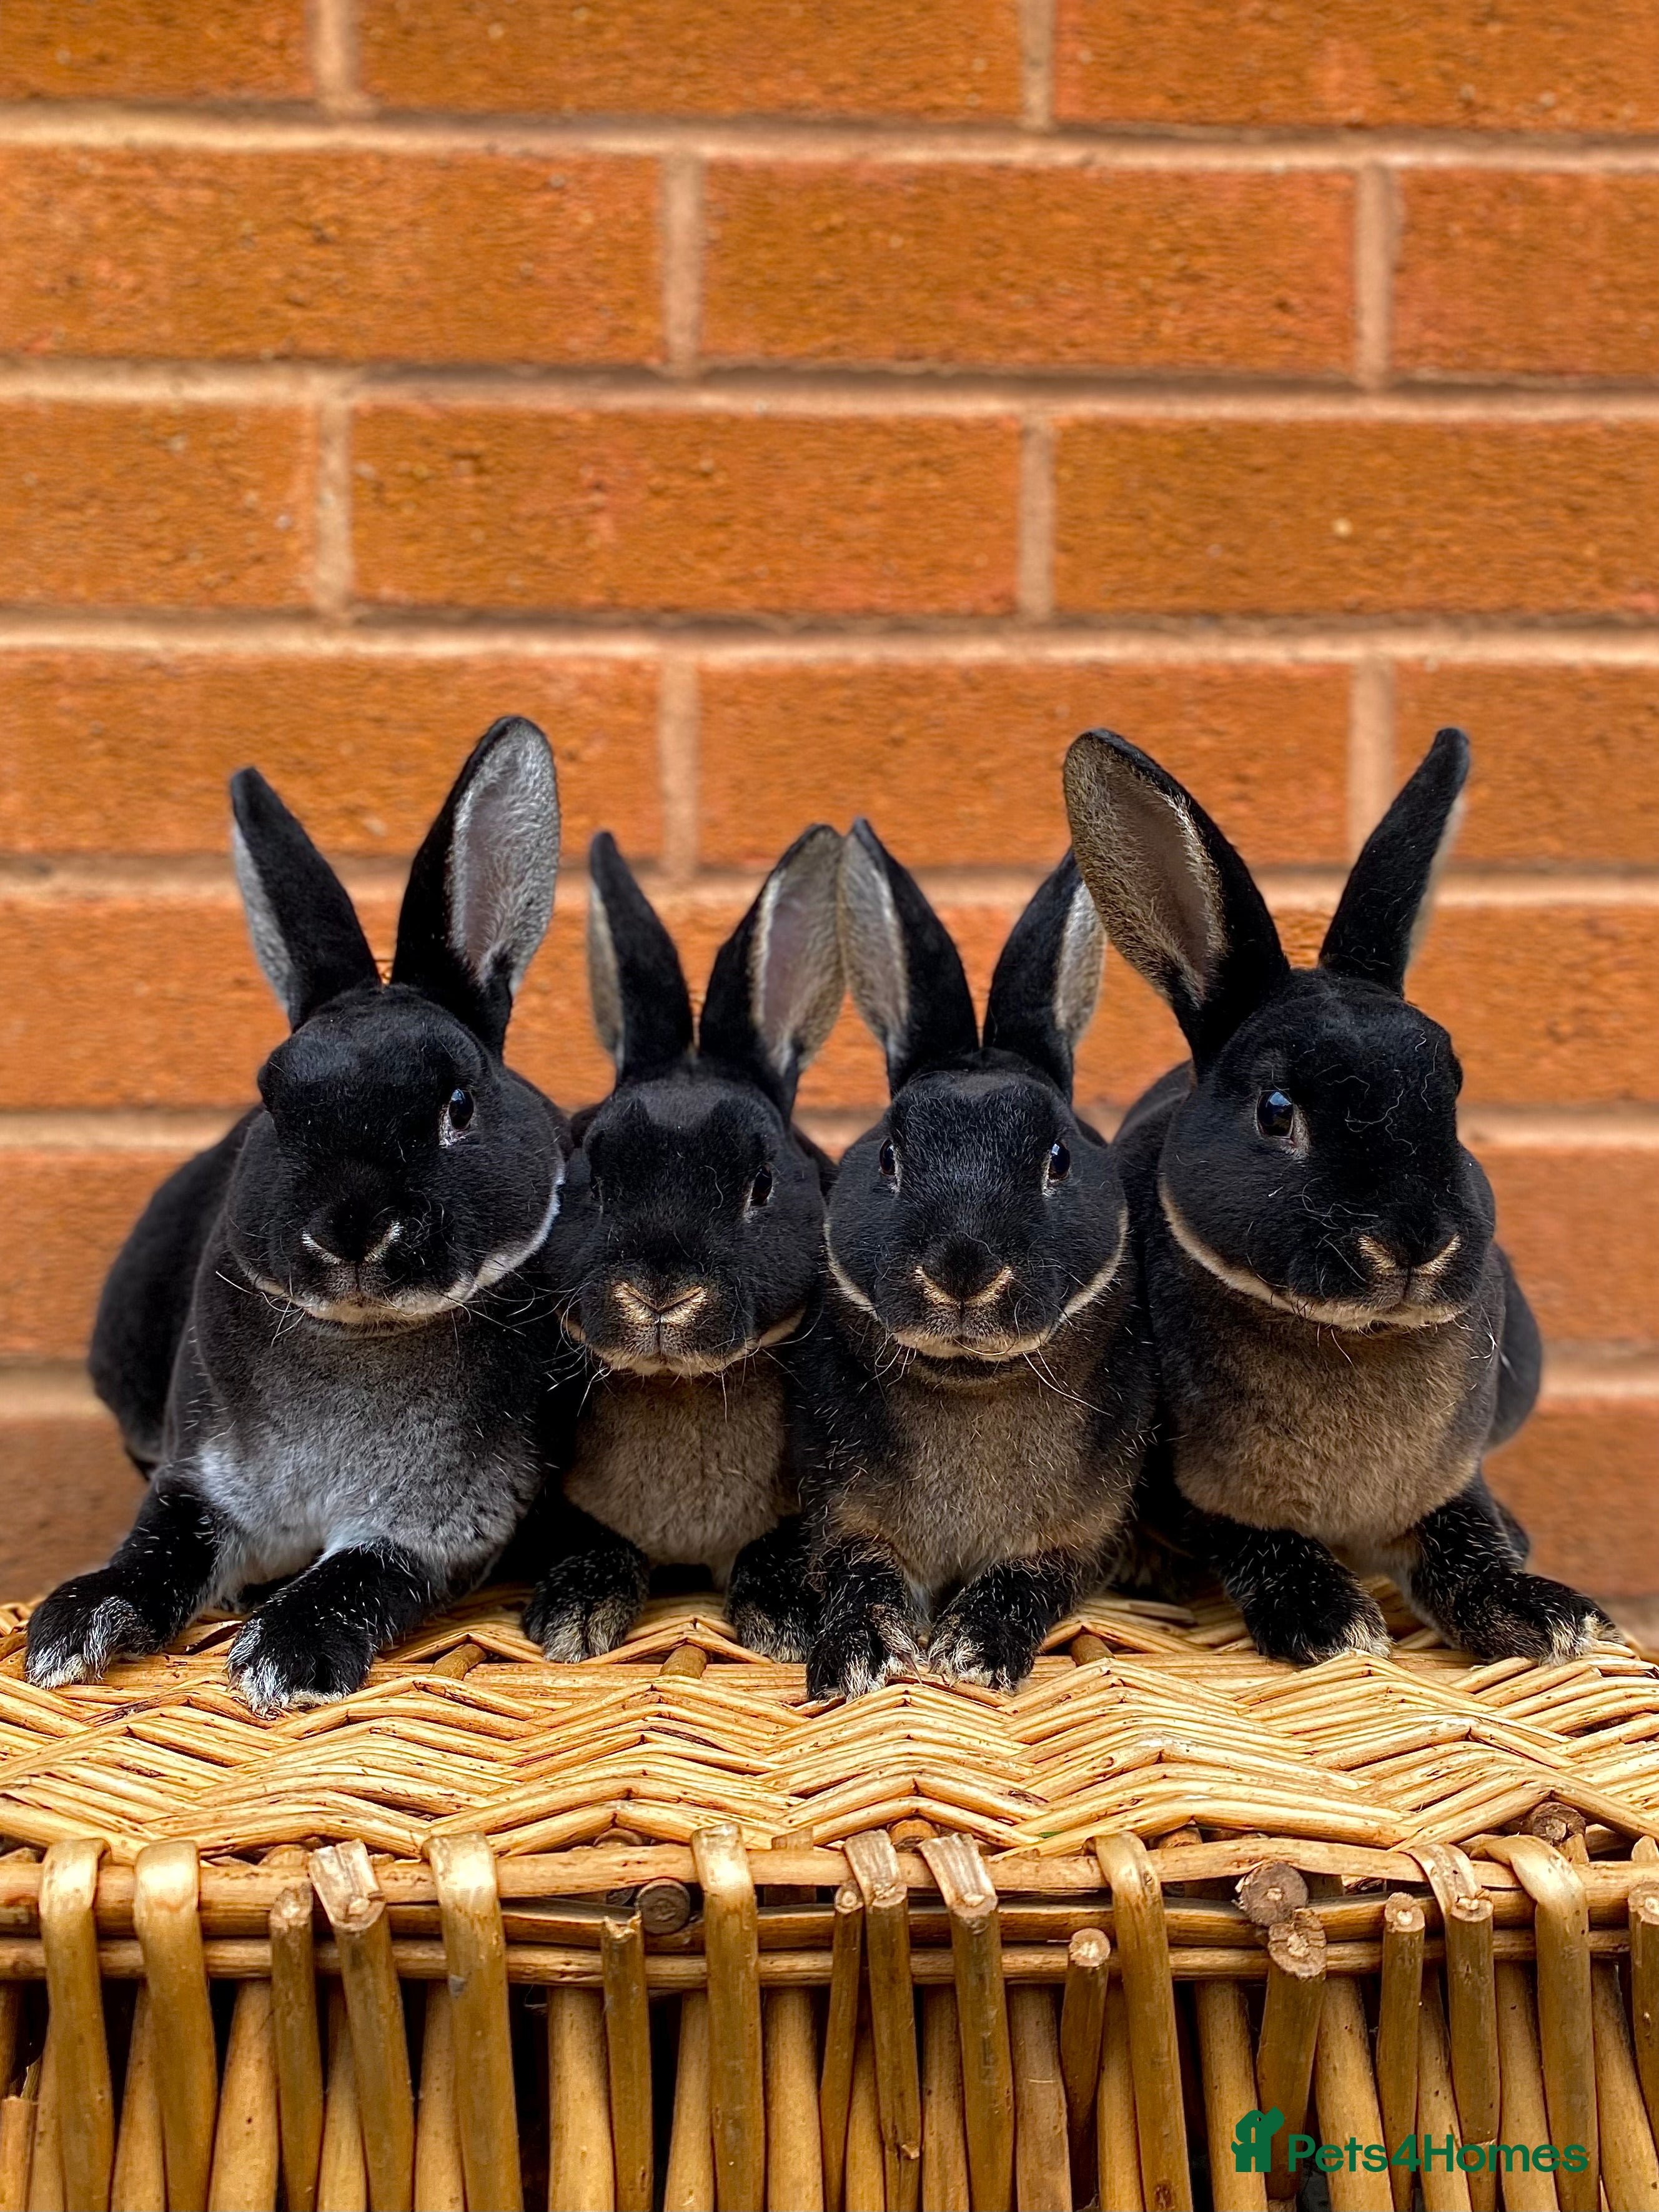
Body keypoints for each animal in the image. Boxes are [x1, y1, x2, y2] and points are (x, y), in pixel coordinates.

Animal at [27, 717, 573, 1713]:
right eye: (273, 1103)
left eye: (458, 1106)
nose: (351, 1230)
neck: (360, 1343)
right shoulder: (200, 1479)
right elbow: (156, 1550)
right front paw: (68, 1630)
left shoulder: (442, 1524)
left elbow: (355, 1576)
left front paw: (284, 1656)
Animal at [522, 822, 845, 1663]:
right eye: (593, 1177)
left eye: (761, 1185)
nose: (660, 1293)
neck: (681, 1387)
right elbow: (595, 1541)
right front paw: (572, 1622)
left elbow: (777, 1547)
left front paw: (788, 1623)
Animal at [796, 821, 1158, 1702]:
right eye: (888, 1156)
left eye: (1058, 1158)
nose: (961, 1268)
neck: (970, 1384)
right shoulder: (841, 1516)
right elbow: (859, 1571)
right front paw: (861, 1658)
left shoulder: (1077, 1534)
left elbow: (1026, 1576)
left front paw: (971, 1653)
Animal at [1062, 723, 1614, 1666]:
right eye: (1276, 1110)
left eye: (1452, 1093)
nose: (1413, 1243)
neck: (1354, 1341)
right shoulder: (1188, 1484)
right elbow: (1246, 1533)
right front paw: (1330, 1622)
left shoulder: (1450, 1473)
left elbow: (1463, 1530)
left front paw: (1544, 1615)